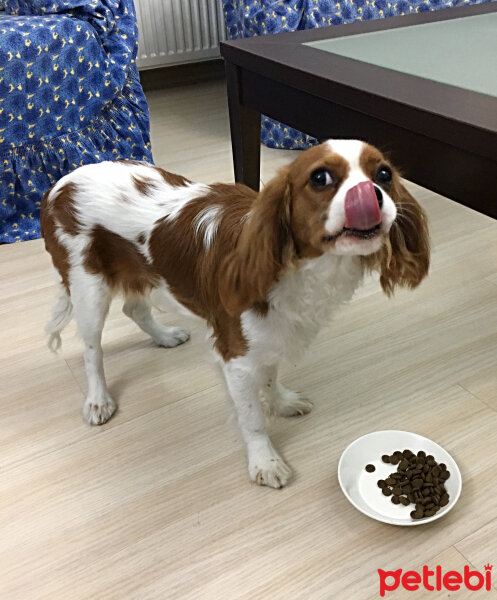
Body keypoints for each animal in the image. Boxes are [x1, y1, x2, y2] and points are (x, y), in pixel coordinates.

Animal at [41, 139, 430, 488]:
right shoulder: (237, 356)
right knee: (91, 349)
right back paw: (98, 400)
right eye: (320, 178)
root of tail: (61, 183)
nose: (371, 193)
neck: (300, 268)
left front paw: (281, 402)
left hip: (141, 274)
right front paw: (265, 461)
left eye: (384, 174)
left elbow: (270, 376)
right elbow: (251, 417)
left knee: (133, 307)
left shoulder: (269, 334)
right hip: (88, 288)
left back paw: (165, 336)